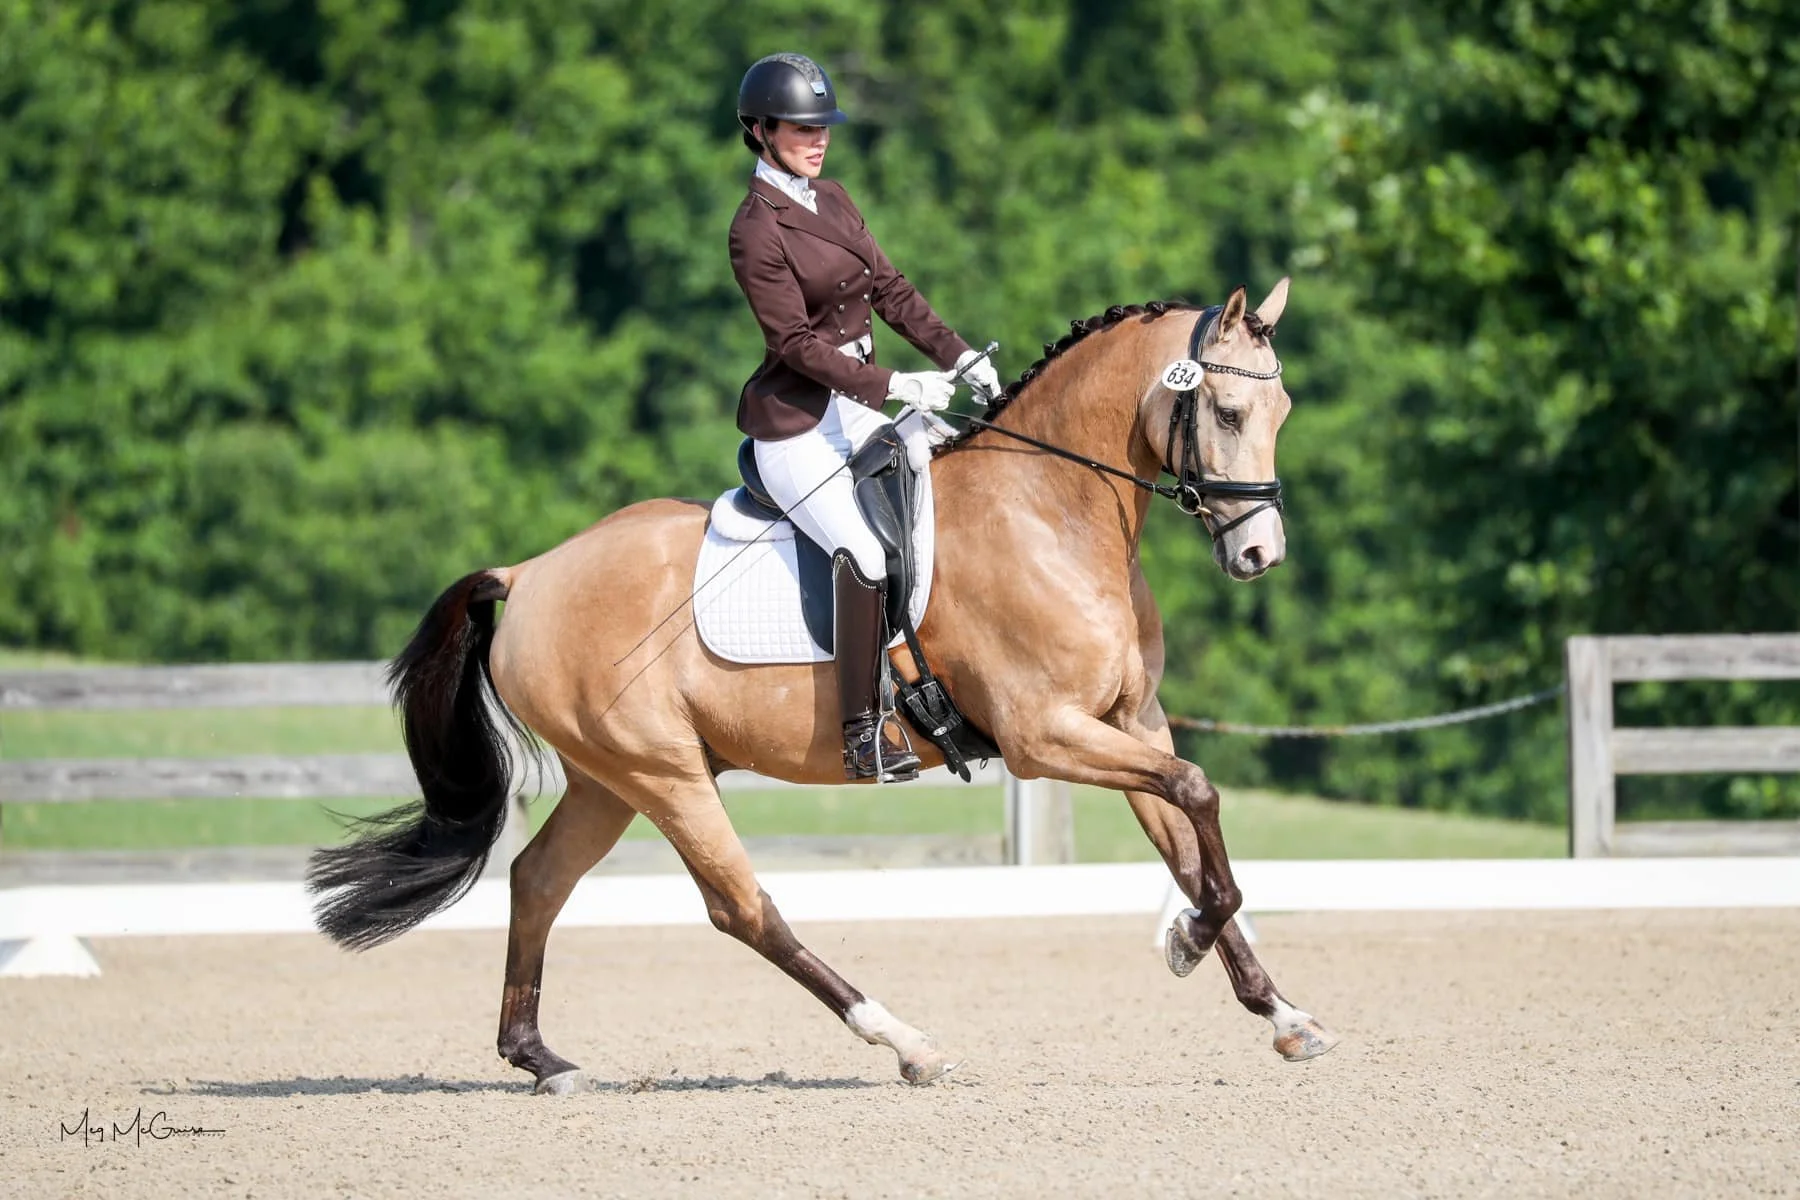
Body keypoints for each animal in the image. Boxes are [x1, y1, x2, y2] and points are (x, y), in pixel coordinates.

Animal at [306, 278, 1340, 1093]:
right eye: (1228, 414)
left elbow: (1187, 831)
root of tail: (526, 575)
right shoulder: (1045, 736)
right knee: (742, 910)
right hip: (664, 775)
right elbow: (1199, 798)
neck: (1051, 507)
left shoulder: (1135, 720)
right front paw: (1189, 943)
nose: (1261, 555)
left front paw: (1280, 1011)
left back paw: (540, 1058)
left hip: (610, 779)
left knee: (538, 879)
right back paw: (907, 1042)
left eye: (1283, 412)